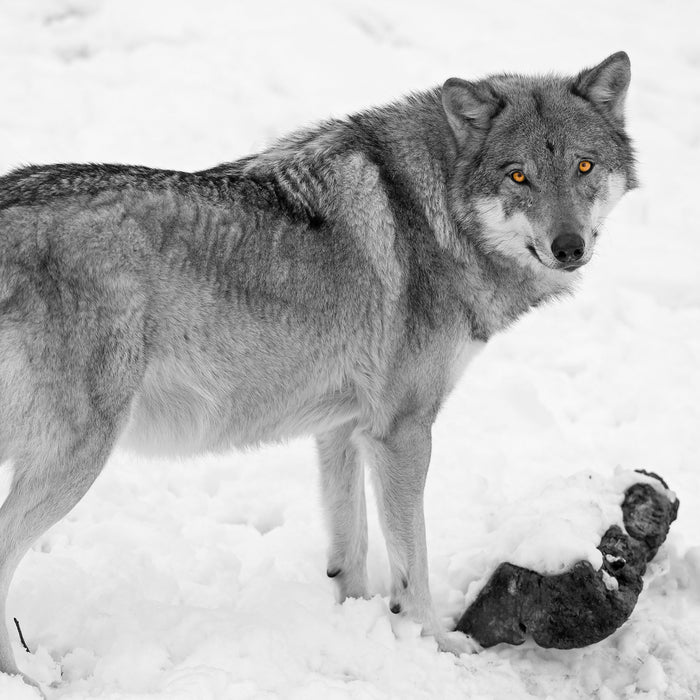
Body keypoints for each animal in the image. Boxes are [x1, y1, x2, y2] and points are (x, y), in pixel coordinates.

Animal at [0, 52, 636, 688]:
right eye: (518, 176)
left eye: (583, 166)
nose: (569, 247)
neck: (433, 212)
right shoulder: (401, 434)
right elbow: (414, 565)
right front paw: (434, 648)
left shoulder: (341, 428)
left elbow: (350, 550)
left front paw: (359, 629)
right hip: (78, 456)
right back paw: (28, 674)